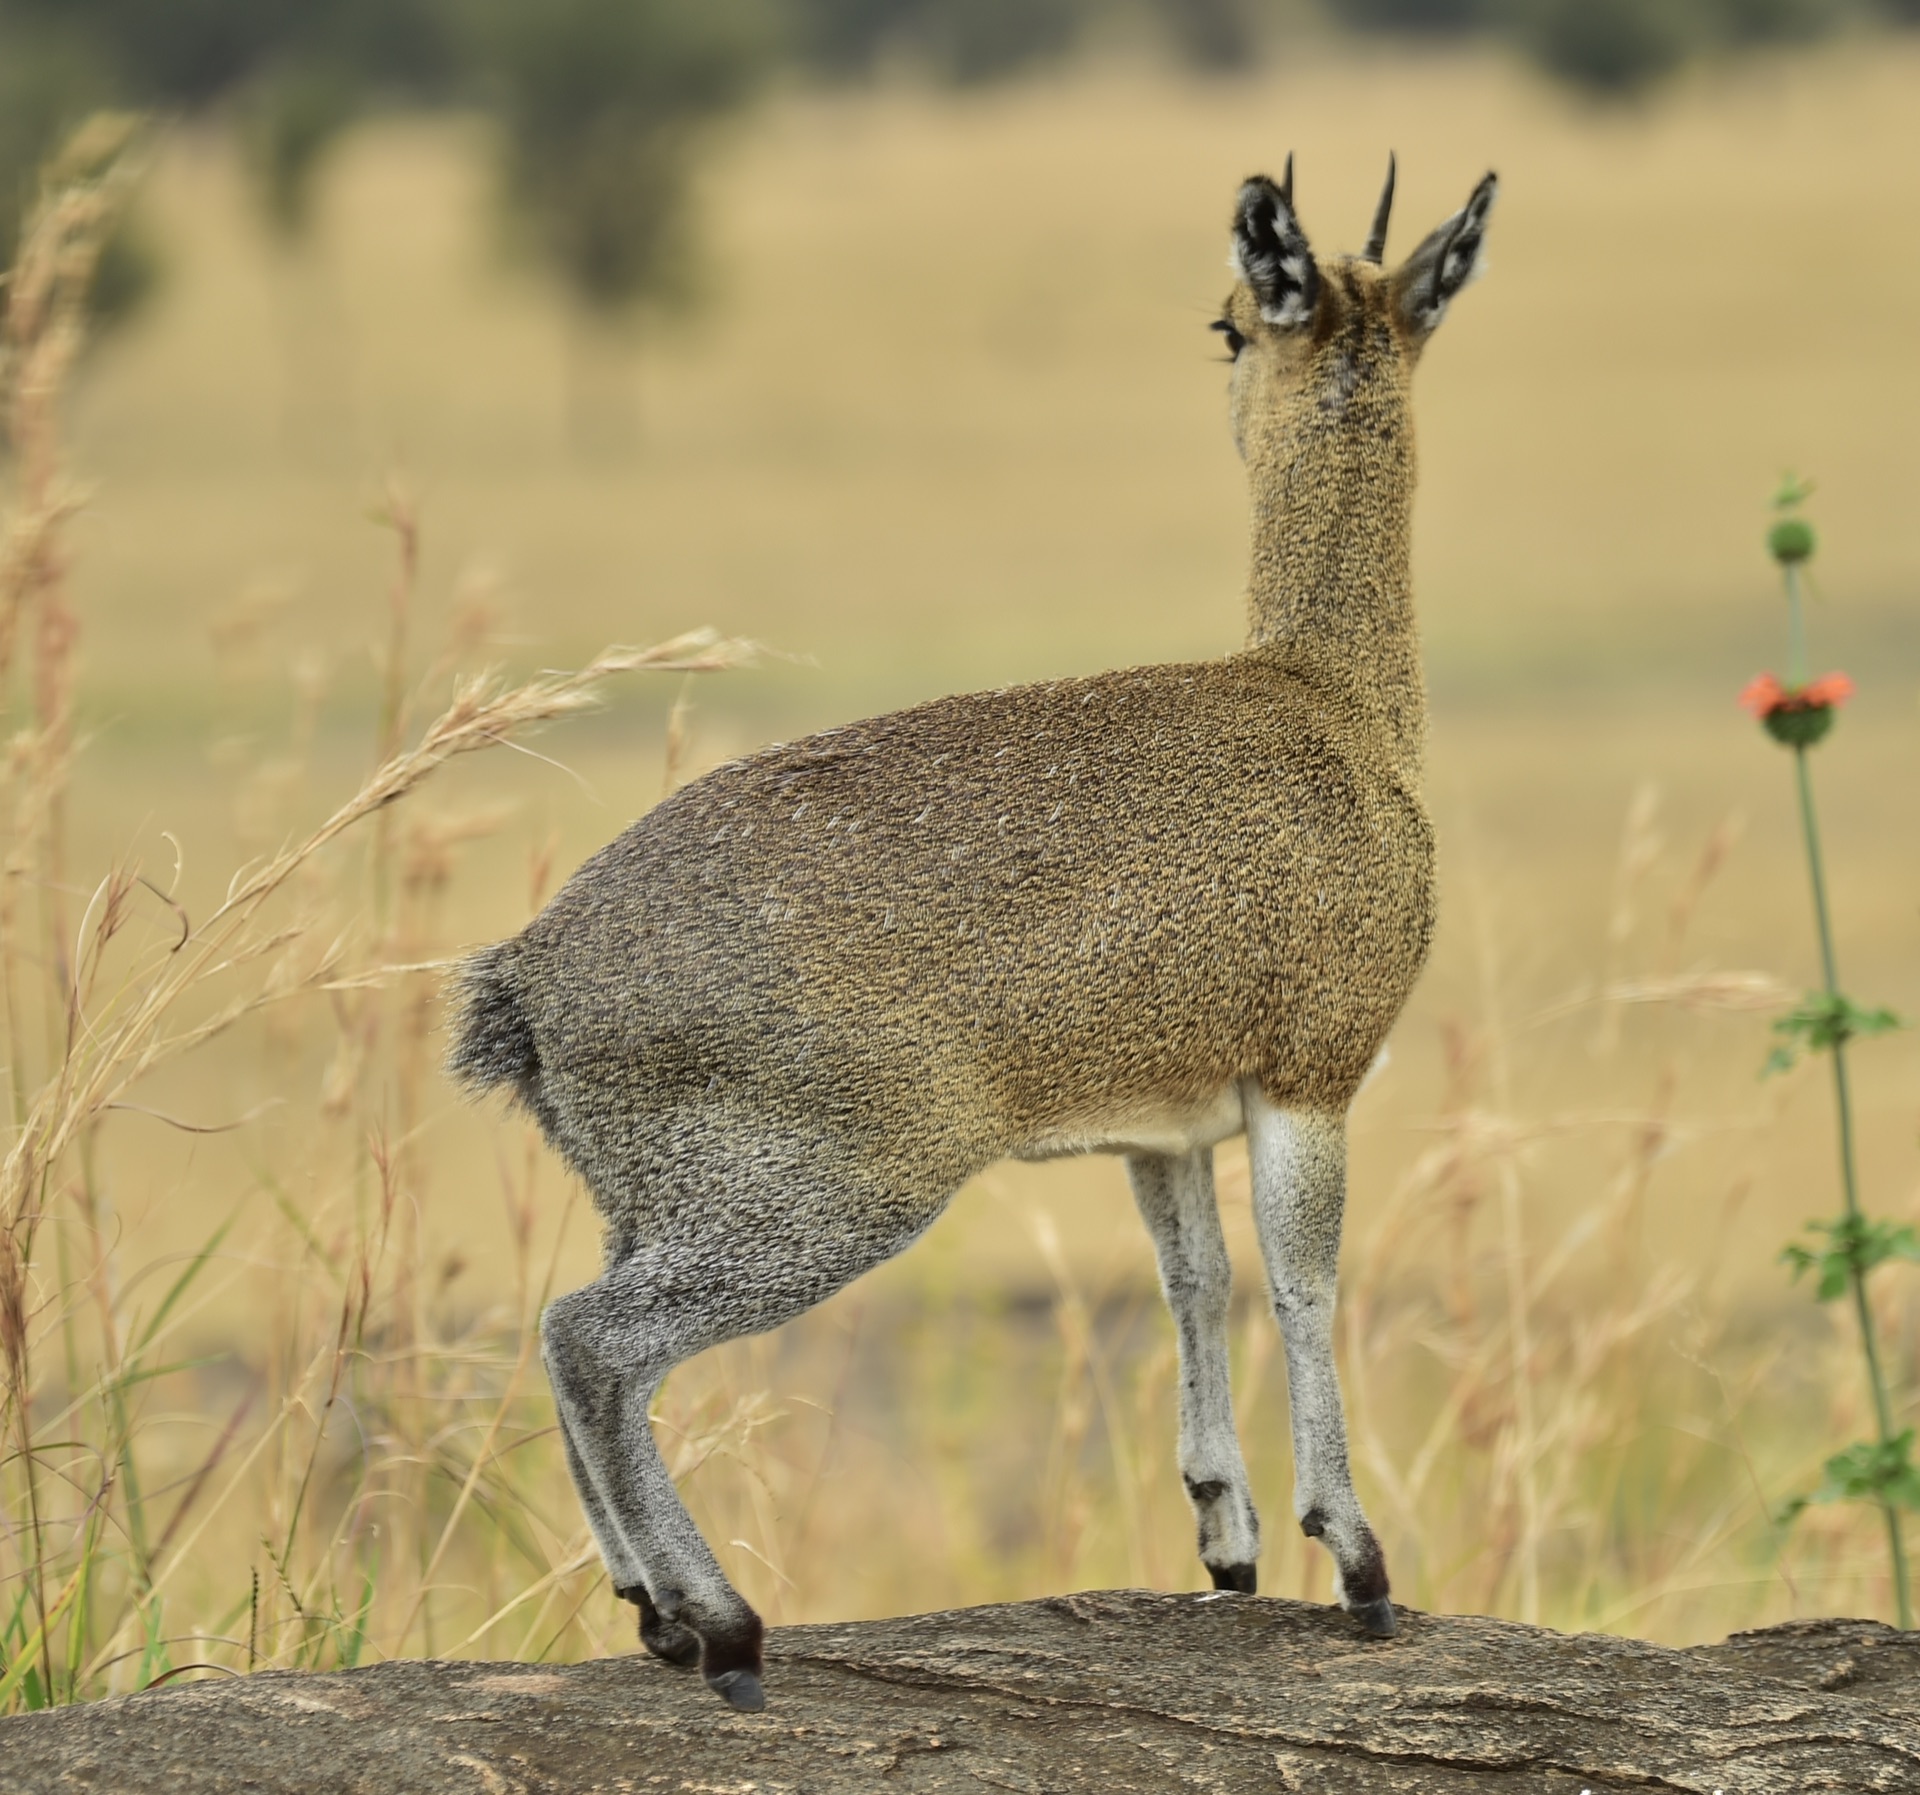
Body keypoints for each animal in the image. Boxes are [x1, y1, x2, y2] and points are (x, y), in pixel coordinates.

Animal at [449, 158, 1497, 1712]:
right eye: (1228, 320)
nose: (1223, 356)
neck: (1335, 699)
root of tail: (523, 977)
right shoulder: (1310, 1078)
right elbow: (1306, 1281)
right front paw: (1359, 1562)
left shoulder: (1163, 1126)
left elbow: (1197, 1282)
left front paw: (1230, 1541)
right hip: (825, 1198)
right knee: (595, 1341)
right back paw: (729, 1629)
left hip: (655, 1201)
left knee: (566, 1334)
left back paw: (659, 1612)